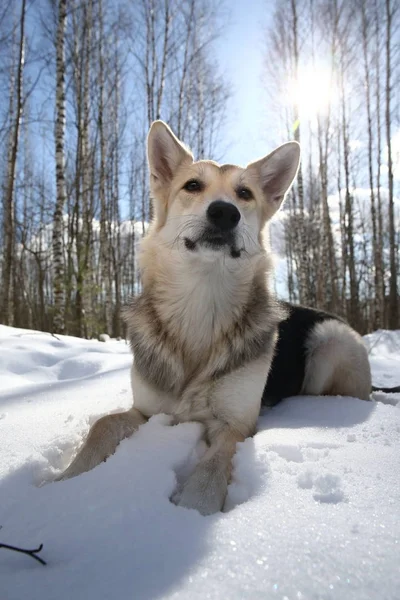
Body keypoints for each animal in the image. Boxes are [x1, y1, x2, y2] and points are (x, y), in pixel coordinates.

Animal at [57, 120, 398, 516]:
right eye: (192, 186)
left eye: (244, 193)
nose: (224, 212)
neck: (202, 304)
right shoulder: (146, 411)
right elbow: (103, 424)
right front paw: (62, 482)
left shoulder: (234, 426)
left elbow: (211, 470)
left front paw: (191, 511)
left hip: (329, 342)